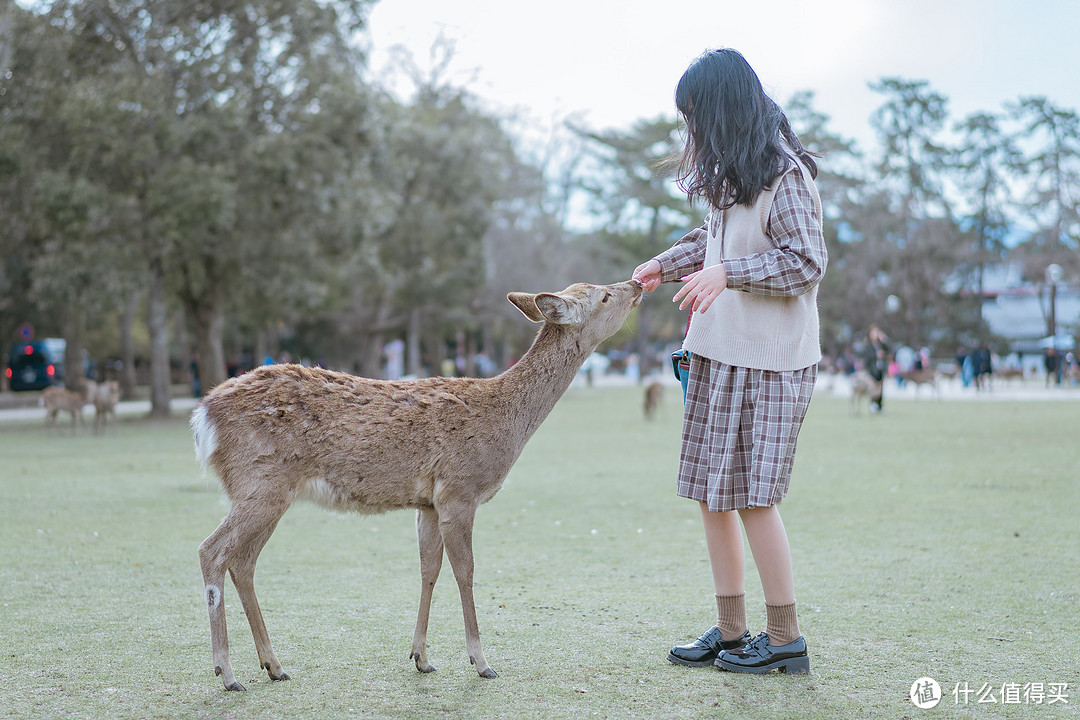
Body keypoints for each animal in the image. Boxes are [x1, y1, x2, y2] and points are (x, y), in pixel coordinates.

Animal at [189, 278, 639, 690]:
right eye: (604, 296)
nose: (635, 284)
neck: (507, 422)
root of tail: (202, 417)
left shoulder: (428, 503)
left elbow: (429, 569)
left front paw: (421, 657)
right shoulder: (459, 490)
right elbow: (465, 571)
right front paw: (481, 662)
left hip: (268, 492)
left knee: (243, 562)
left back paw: (274, 665)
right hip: (259, 481)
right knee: (212, 550)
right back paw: (227, 673)